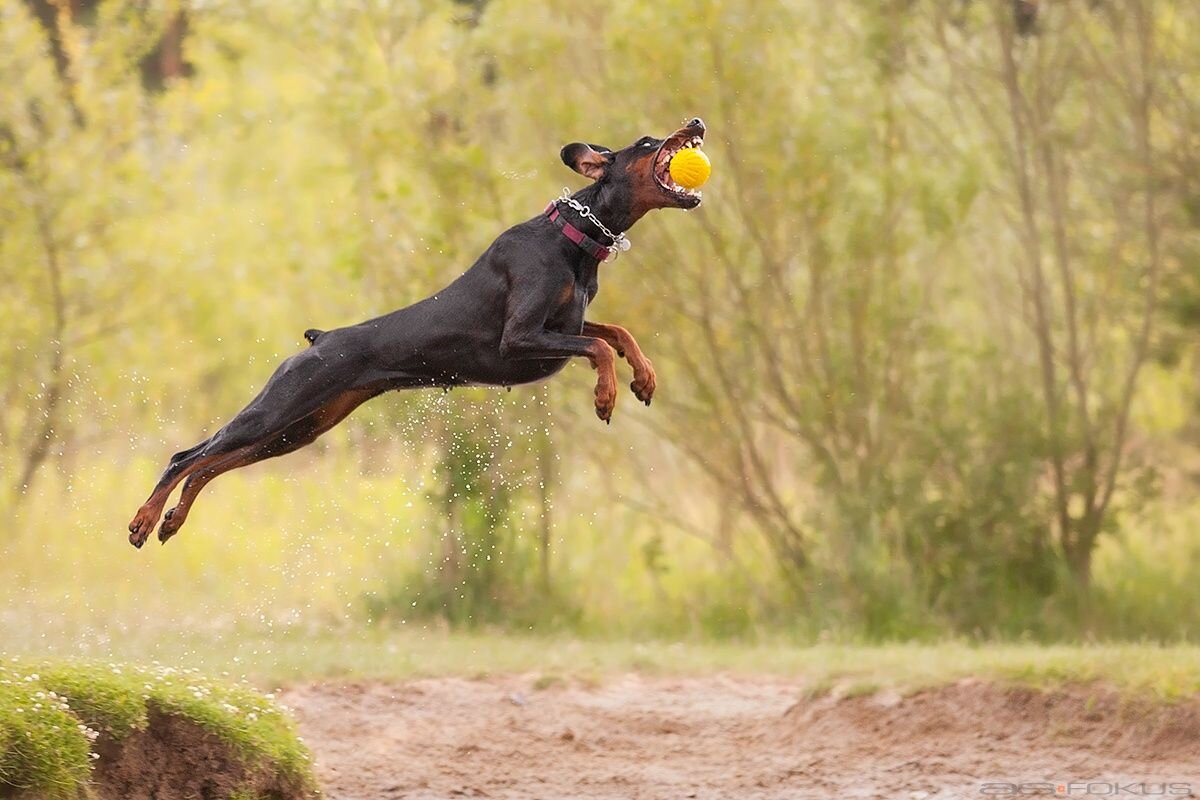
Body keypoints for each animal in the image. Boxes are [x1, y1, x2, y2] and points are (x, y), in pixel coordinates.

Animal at [129, 115, 710, 546]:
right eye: (647, 141)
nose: (697, 121)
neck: (576, 234)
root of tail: (319, 339)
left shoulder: (565, 323)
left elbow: (617, 333)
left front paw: (644, 378)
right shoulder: (520, 338)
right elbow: (597, 346)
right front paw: (606, 395)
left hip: (302, 428)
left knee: (210, 465)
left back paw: (172, 521)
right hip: (279, 406)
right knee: (188, 457)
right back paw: (144, 518)